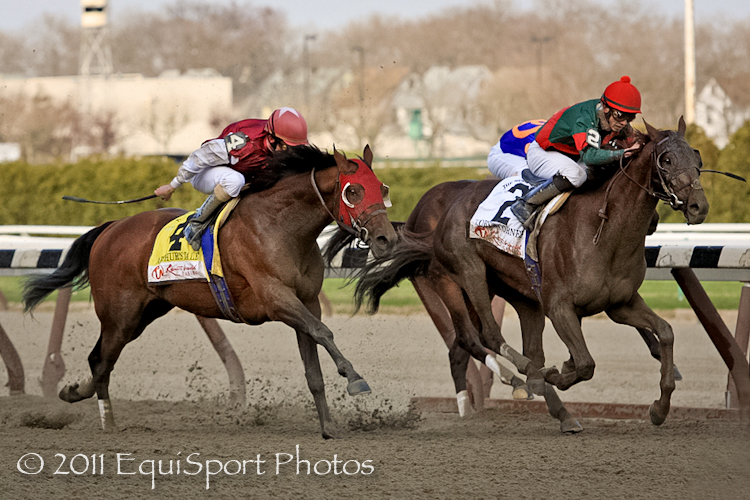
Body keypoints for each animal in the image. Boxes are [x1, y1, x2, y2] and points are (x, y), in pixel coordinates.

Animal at [23, 145, 397, 439]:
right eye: (353, 191)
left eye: (382, 187)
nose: (387, 239)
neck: (282, 227)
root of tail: (110, 228)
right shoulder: (276, 298)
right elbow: (324, 332)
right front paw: (355, 378)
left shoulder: (306, 302)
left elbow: (314, 367)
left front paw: (328, 426)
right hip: (120, 314)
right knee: (102, 361)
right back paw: (107, 422)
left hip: (144, 313)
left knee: (99, 359)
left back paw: (73, 392)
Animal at [353, 118, 709, 431]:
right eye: (666, 159)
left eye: (697, 158)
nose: (698, 206)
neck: (604, 232)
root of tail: (438, 219)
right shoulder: (560, 307)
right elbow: (585, 363)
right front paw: (555, 372)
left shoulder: (620, 304)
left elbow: (665, 332)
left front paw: (660, 408)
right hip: (464, 275)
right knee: (486, 336)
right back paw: (522, 378)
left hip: (520, 297)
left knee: (496, 345)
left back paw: (558, 411)